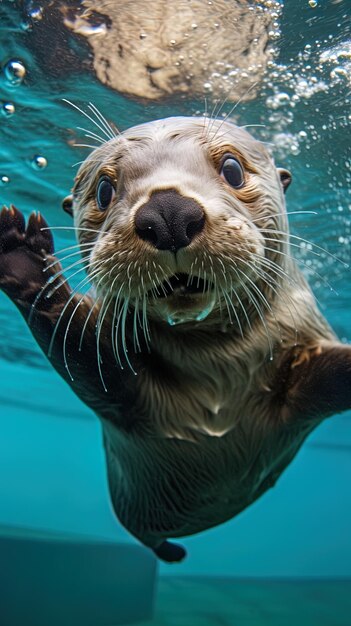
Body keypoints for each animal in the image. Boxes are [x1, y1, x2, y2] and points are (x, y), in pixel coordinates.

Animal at [0, 114, 351, 560]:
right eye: (104, 189)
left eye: (232, 168)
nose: (168, 210)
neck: (219, 375)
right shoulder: (121, 384)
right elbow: (82, 356)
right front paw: (24, 259)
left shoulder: (304, 353)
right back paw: (172, 552)